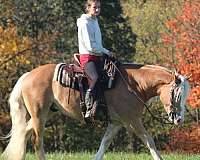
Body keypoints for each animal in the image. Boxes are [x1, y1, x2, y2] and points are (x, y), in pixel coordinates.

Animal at [1, 61, 189, 160]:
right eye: (177, 93)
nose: (179, 119)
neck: (135, 85)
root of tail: (28, 75)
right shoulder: (132, 120)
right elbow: (149, 140)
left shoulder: (116, 123)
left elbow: (104, 143)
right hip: (39, 114)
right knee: (37, 141)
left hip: (46, 112)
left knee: (23, 133)